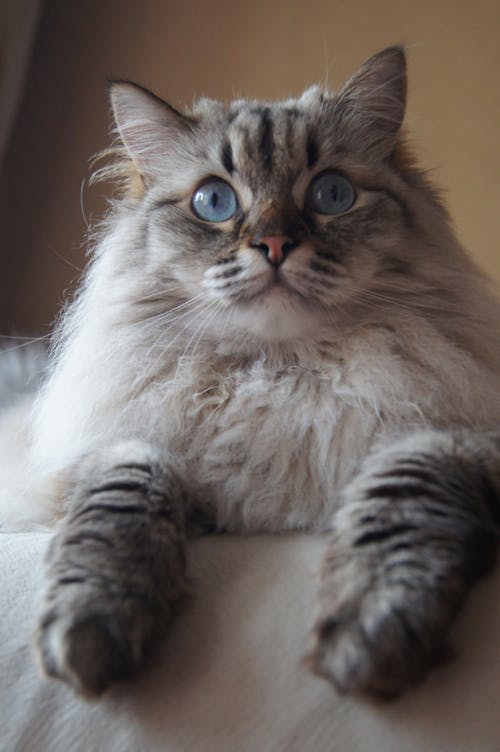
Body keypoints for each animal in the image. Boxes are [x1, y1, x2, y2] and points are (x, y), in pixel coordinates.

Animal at [0, 47, 500, 700]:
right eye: (214, 203)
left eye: (331, 195)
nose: (275, 244)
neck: (280, 376)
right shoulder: (120, 446)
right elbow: (118, 507)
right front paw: (91, 634)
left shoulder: (450, 438)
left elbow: (402, 504)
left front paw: (369, 633)